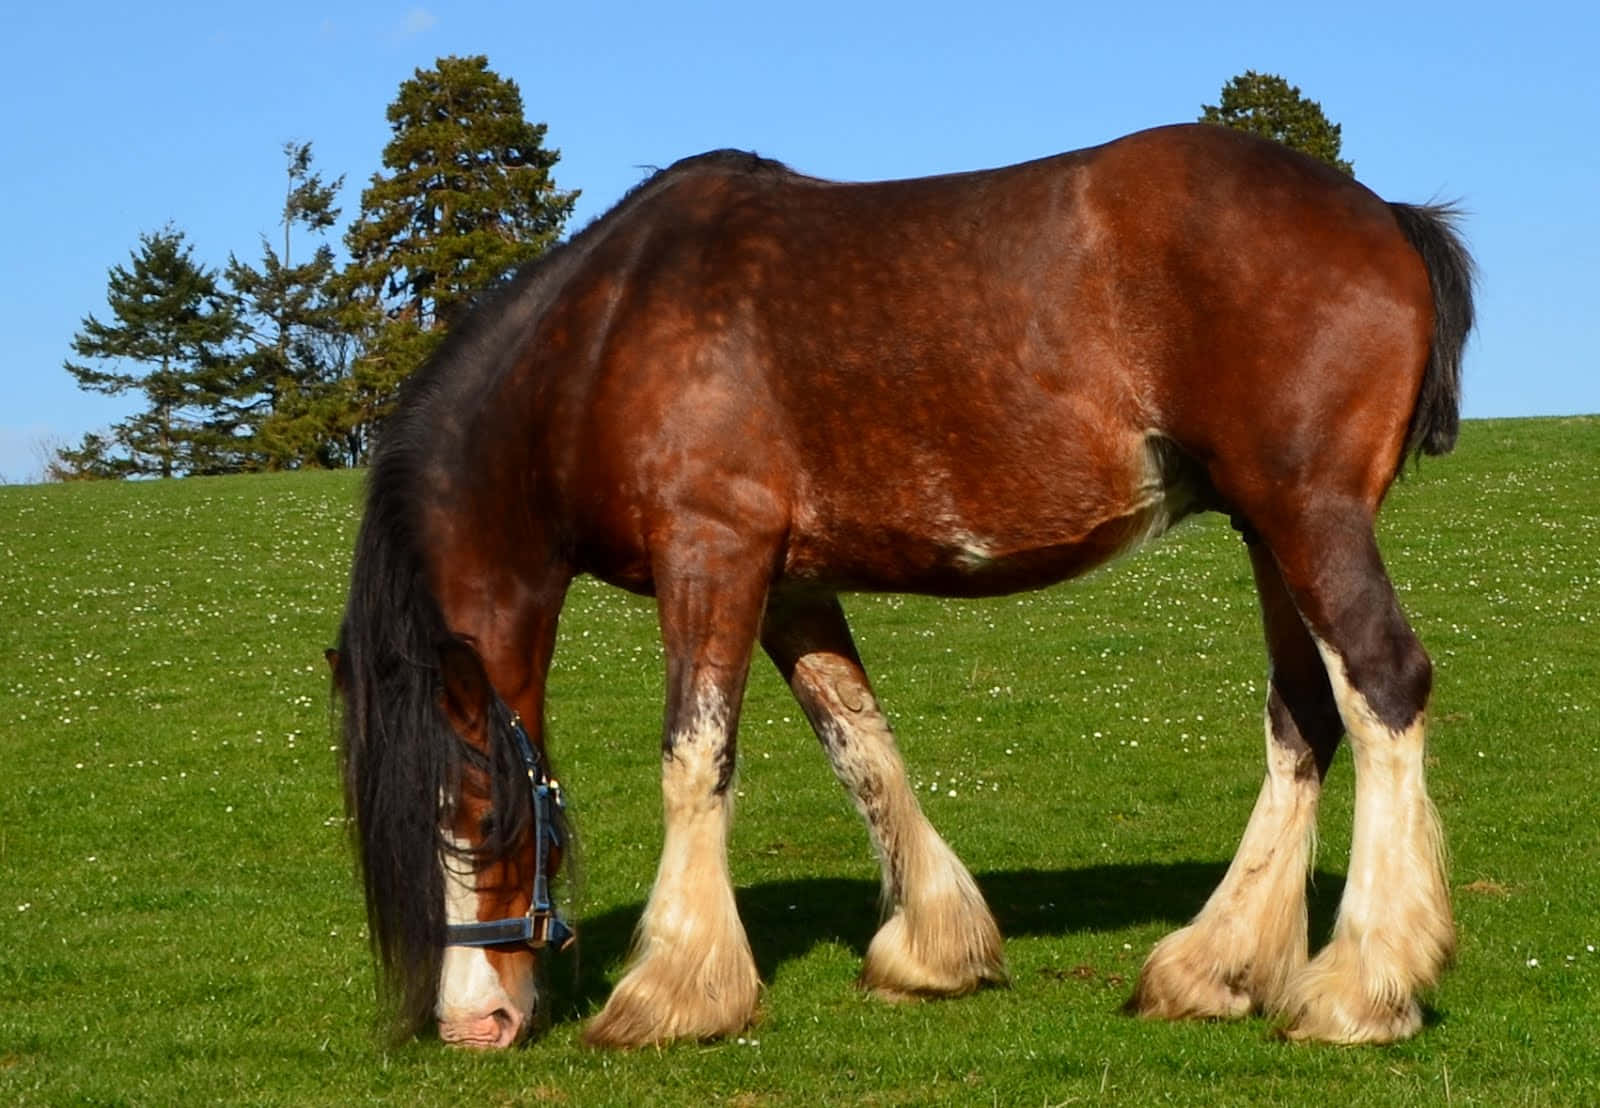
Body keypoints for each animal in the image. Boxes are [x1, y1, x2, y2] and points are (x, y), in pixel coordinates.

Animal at [331, 122, 1474, 1050]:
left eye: (475, 812)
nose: (473, 1023)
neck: (606, 336)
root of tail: (1381, 214)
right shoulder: (789, 584)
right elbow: (860, 742)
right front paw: (935, 947)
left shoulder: (712, 551)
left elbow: (694, 758)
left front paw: (671, 989)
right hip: (1265, 528)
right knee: (1303, 715)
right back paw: (1215, 967)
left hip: (1306, 513)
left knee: (1381, 685)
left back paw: (1360, 990)